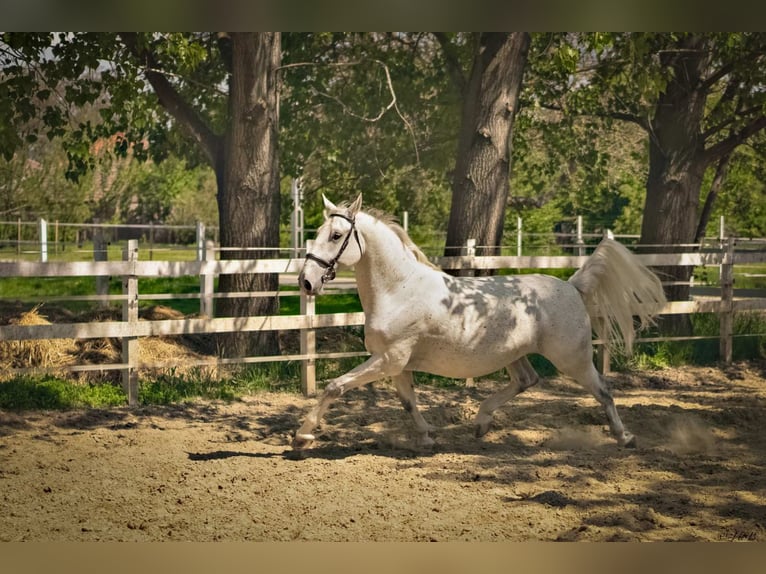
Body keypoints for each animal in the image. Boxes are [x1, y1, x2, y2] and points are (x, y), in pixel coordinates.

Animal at [294, 196, 664, 452]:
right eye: (318, 232)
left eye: (336, 235)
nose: (307, 282)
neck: (399, 289)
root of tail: (572, 286)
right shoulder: (396, 365)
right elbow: (408, 402)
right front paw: (427, 438)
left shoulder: (389, 359)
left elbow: (335, 386)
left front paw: (303, 435)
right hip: (514, 355)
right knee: (528, 380)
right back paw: (481, 422)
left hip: (573, 358)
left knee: (603, 390)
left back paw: (625, 437)